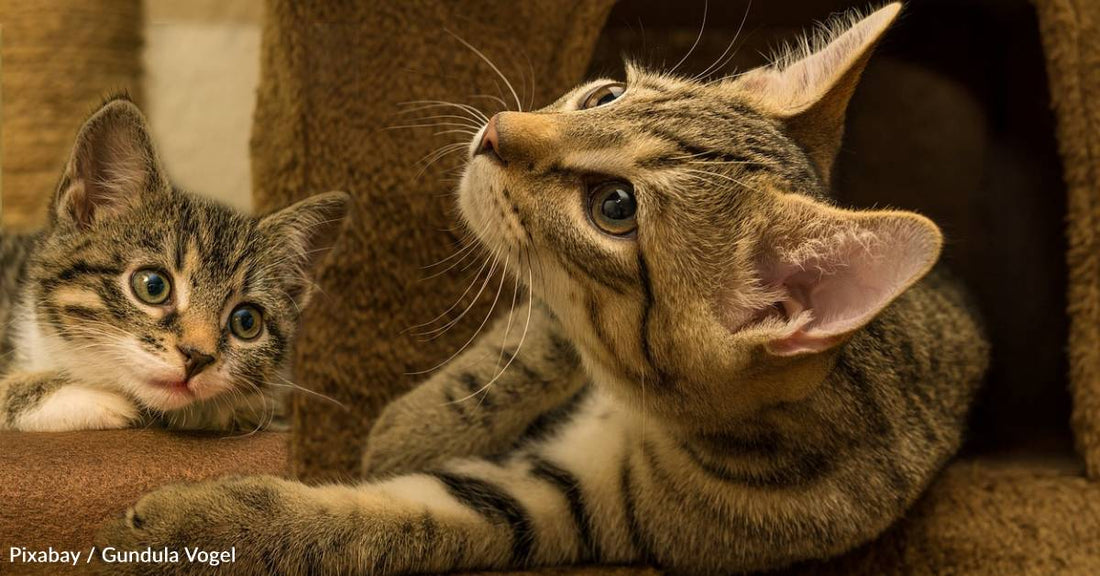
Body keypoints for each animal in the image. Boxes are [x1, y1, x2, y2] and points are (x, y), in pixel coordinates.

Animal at [96, 5, 990, 576]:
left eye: (615, 207)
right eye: (605, 94)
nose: (495, 133)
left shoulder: (574, 509)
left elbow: (391, 523)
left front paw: (192, 528)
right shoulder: (554, 332)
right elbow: (517, 352)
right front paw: (412, 428)